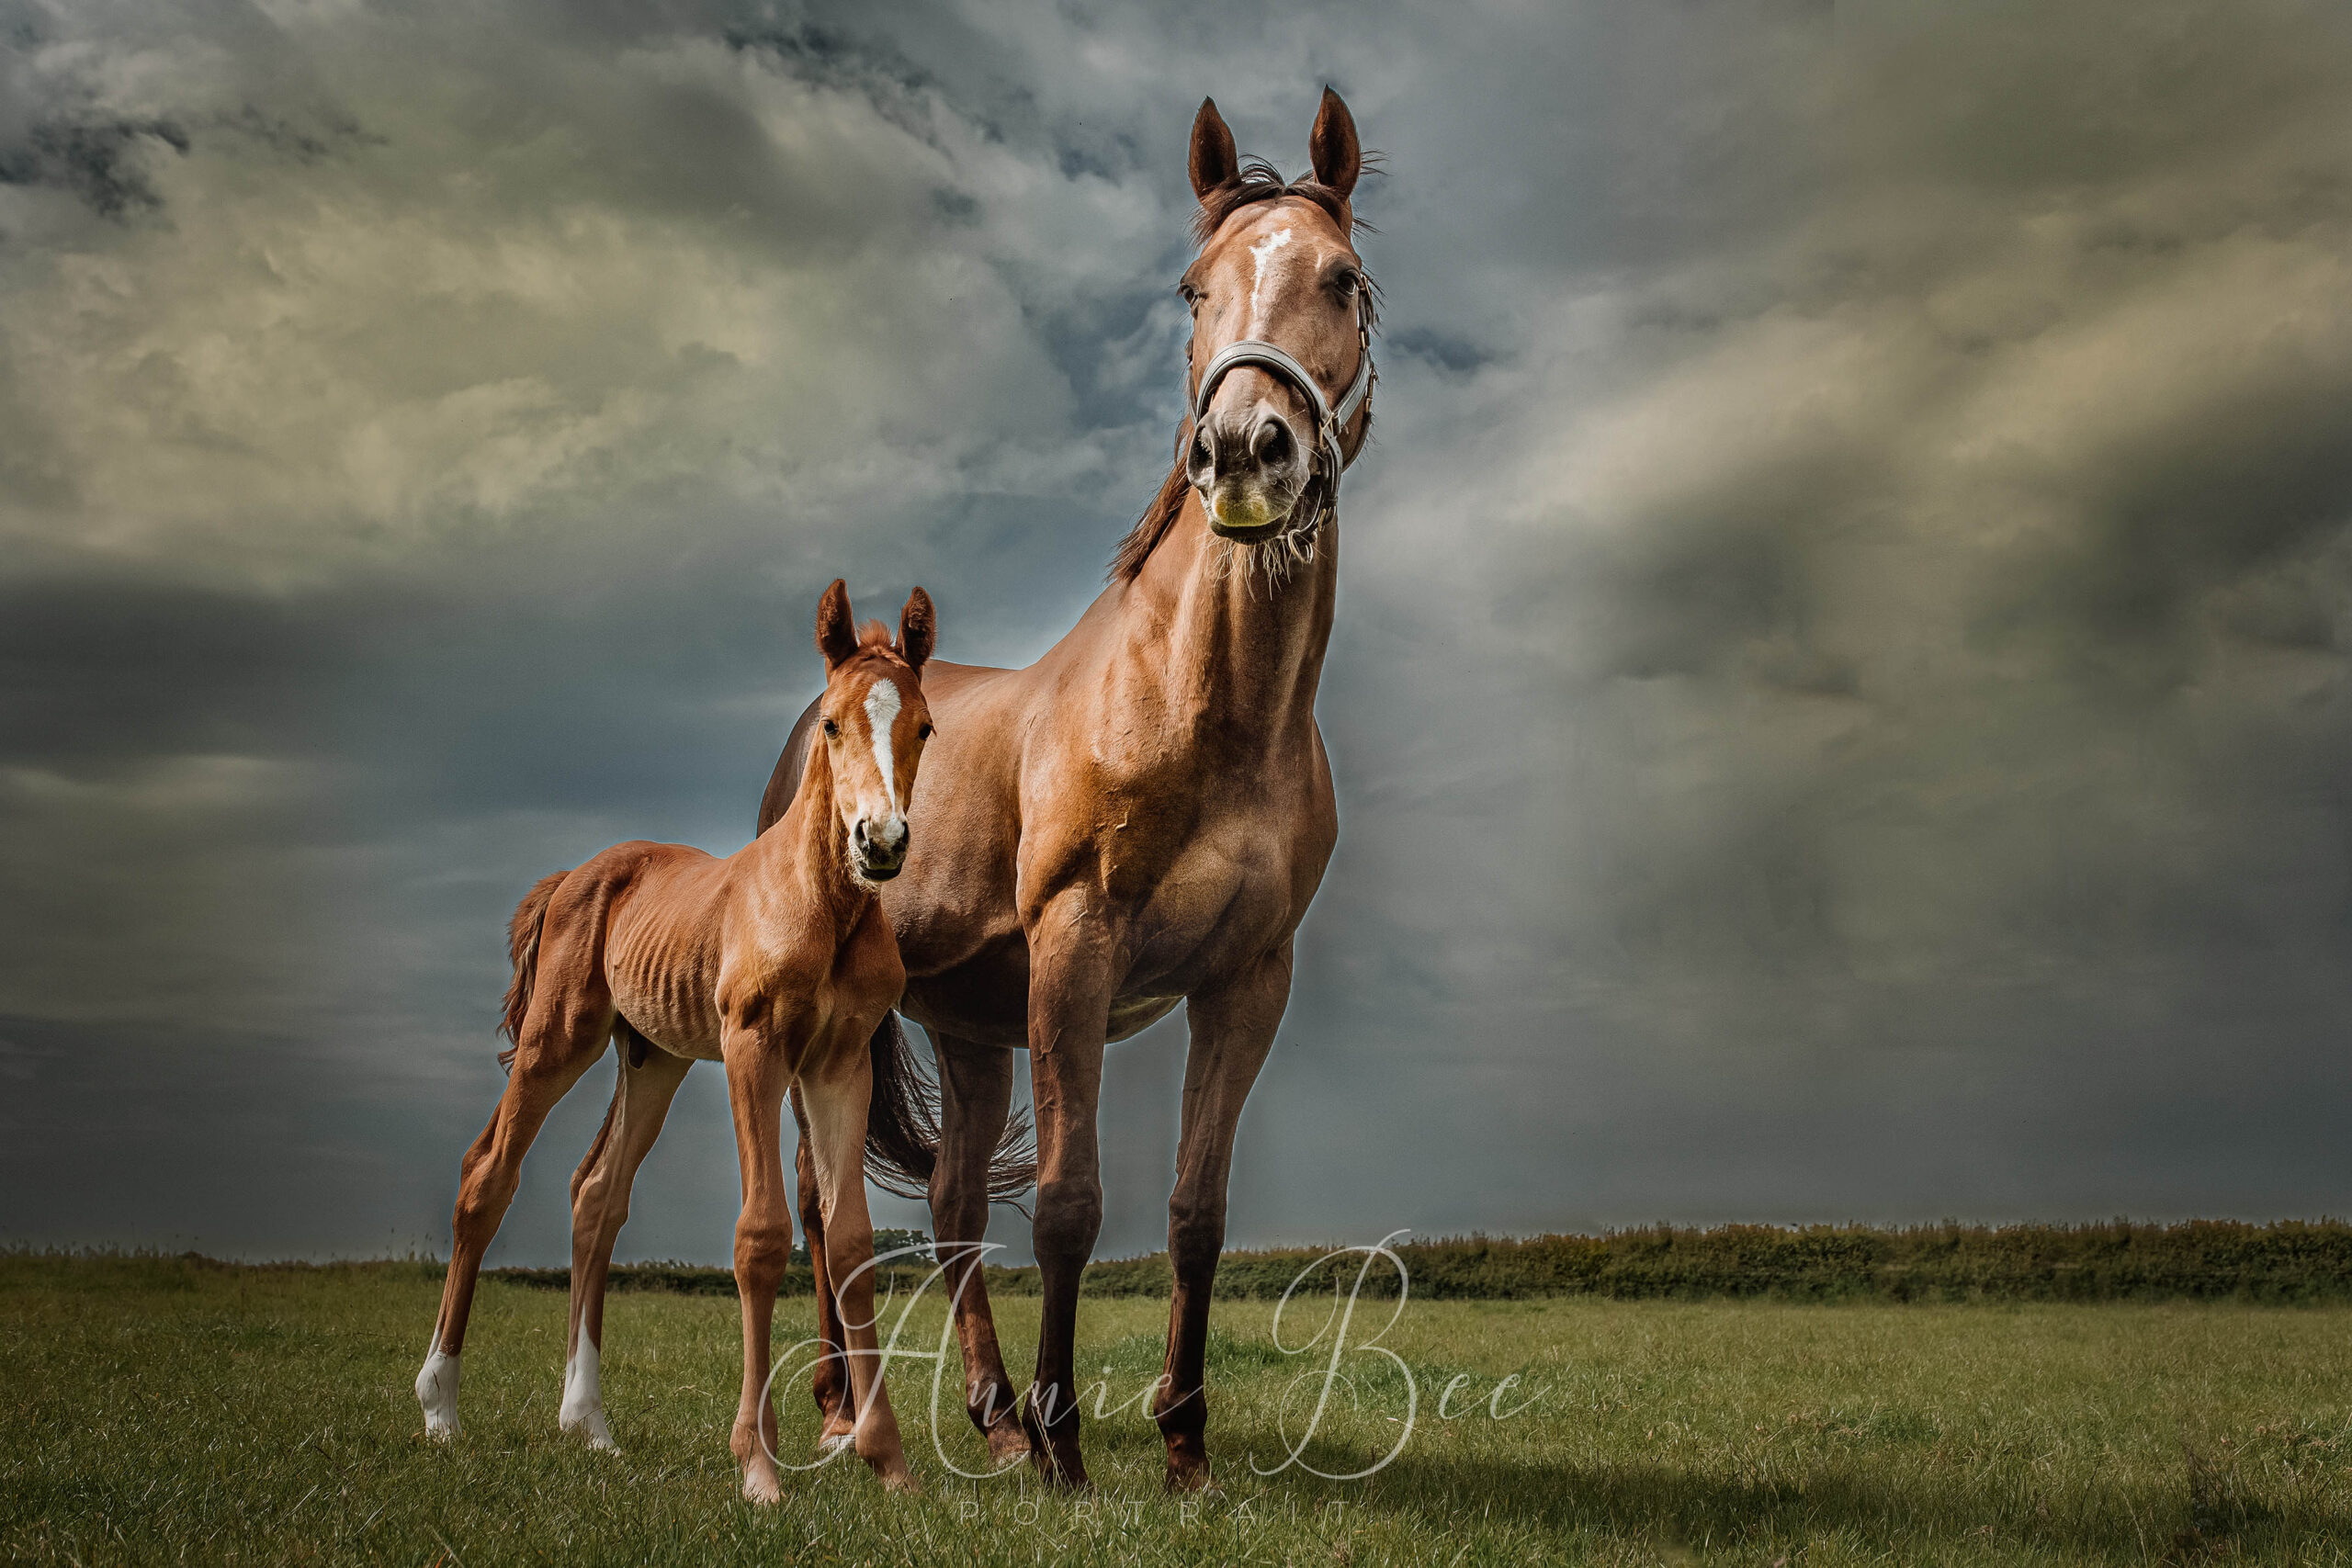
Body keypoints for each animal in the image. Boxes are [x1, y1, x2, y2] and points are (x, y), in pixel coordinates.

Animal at [415, 581, 938, 1504]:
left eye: (924, 727)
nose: (880, 841)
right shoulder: (753, 1049)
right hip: (560, 1037)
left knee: (597, 1194)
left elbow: (849, 1241)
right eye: (831, 723)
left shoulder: (839, 1065)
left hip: (651, 1058)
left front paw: (889, 1460)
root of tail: (573, 875)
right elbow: (760, 1234)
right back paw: (440, 1406)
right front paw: (758, 1465)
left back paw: (588, 1424)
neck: (824, 907)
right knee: (488, 1175)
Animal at [560, 87, 1377, 1492]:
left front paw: (1183, 1446)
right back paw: (852, 1409)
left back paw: (985, 1412)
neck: (1204, 707)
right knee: (825, 1207)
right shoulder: (1076, 950)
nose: (1243, 449)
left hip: (969, 1024)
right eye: (1192, 288)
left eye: (1339, 277)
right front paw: (1069, 1449)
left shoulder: (1247, 981)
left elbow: (1195, 1212)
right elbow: (1066, 1205)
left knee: (942, 1208)